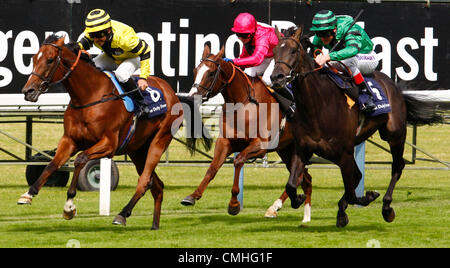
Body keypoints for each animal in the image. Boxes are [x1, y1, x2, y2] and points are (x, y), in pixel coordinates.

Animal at [16, 34, 207, 229]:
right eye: (33, 59)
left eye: (50, 60)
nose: (28, 91)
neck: (89, 96)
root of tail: (173, 93)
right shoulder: (69, 140)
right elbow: (52, 164)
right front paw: (28, 194)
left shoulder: (108, 145)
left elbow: (80, 159)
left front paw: (69, 206)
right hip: (137, 150)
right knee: (157, 185)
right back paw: (154, 225)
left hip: (159, 140)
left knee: (144, 181)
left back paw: (122, 214)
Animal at [181, 44, 312, 220]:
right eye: (195, 70)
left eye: (211, 73)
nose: (192, 97)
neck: (242, 105)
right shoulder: (225, 142)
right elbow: (212, 168)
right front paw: (192, 196)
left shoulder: (260, 145)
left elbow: (238, 161)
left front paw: (234, 204)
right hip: (287, 149)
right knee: (304, 178)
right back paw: (290, 207)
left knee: (301, 177)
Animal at [270, 26, 442, 228]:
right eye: (274, 51)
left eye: (293, 50)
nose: (276, 77)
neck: (318, 105)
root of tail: (394, 86)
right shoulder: (303, 149)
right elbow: (291, 184)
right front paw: (297, 199)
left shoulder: (344, 152)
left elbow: (353, 193)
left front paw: (368, 196)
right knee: (360, 175)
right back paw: (342, 211)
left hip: (395, 135)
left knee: (397, 166)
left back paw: (386, 207)